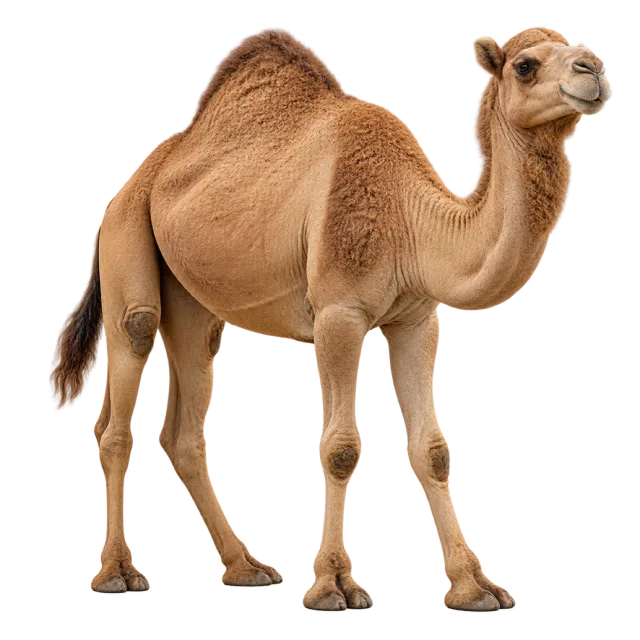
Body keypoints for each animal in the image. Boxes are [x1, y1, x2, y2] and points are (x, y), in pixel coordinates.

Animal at [49, 25, 612, 611]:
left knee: (183, 423)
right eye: (525, 66)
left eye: (577, 46)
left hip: (192, 298)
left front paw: (475, 588)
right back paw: (117, 574)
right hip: (127, 242)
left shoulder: (416, 318)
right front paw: (334, 586)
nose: (593, 70)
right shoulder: (339, 312)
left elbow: (433, 450)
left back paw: (247, 567)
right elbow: (341, 448)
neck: (411, 217)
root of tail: (129, 185)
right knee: (125, 383)